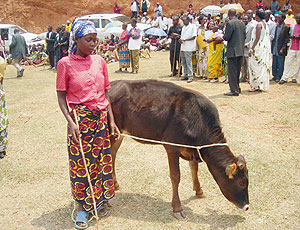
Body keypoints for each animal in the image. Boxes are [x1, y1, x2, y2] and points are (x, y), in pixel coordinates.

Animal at [109, 79, 250, 219]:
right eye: (242, 183)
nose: (247, 207)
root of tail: (113, 84)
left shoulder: (192, 148)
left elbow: (194, 168)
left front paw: (199, 190)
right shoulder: (171, 147)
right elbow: (175, 176)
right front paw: (177, 208)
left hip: (119, 133)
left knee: (113, 154)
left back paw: (115, 184)